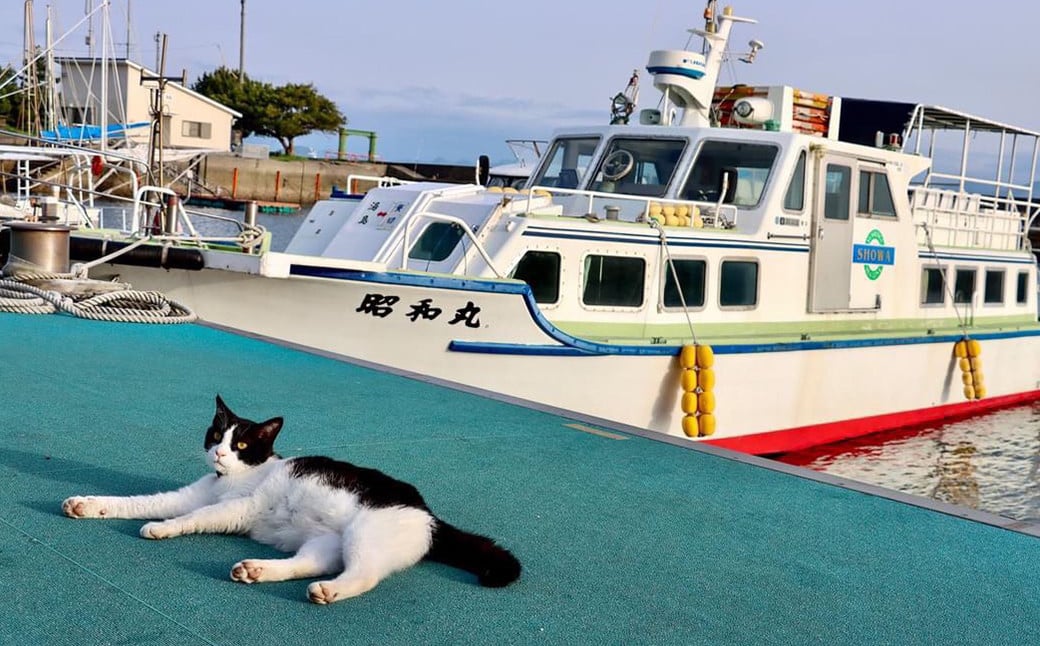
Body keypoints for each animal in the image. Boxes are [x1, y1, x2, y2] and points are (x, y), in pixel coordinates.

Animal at [61, 393, 520, 603]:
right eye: (217, 434)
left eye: (242, 445)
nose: (220, 454)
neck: (231, 479)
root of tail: (430, 516)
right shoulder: (190, 495)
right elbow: (142, 500)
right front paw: (88, 504)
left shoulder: (235, 507)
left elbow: (196, 517)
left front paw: (162, 529)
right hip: (325, 542)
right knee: (311, 563)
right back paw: (256, 570)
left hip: (365, 534)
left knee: (363, 574)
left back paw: (328, 592)